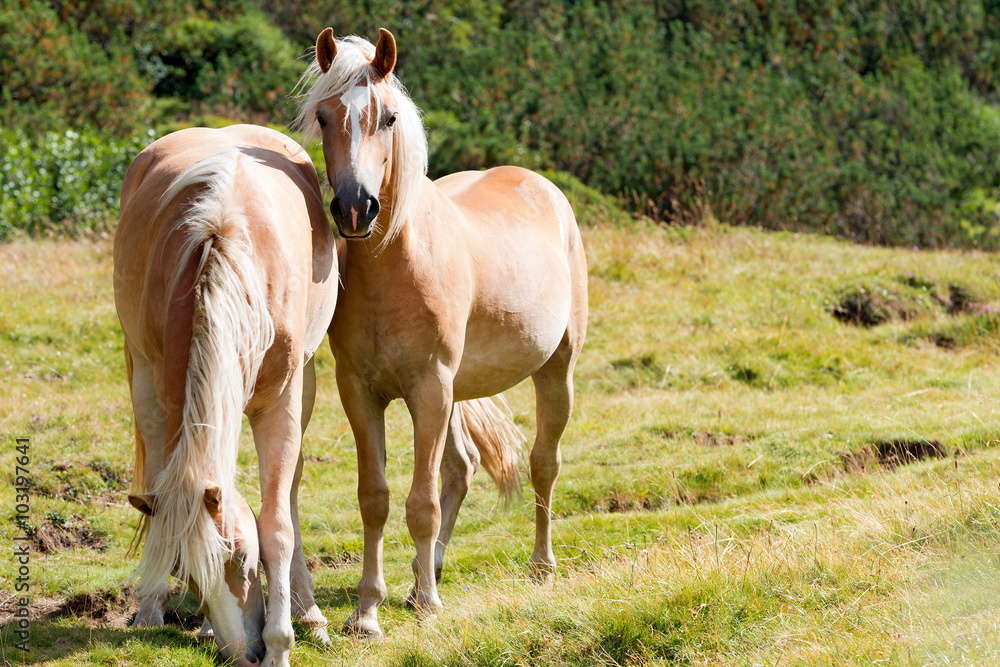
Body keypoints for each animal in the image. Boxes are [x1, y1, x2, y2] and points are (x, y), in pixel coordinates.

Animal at [114, 124, 338, 666]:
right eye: (188, 575)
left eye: (240, 556)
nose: (246, 655)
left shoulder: (282, 404)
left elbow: (277, 525)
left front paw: (282, 643)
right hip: (145, 384)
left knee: (289, 496)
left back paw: (308, 612)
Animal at [293, 28, 588, 636]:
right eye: (324, 116)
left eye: (388, 118)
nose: (355, 208)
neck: (397, 265)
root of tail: (541, 187)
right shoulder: (362, 392)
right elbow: (376, 497)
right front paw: (368, 610)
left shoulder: (428, 388)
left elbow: (421, 501)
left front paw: (427, 603)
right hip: (456, 393)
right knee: (461, 469)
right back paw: (423, 572)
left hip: (553, 372)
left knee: (543, 464)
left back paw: (540, 567)